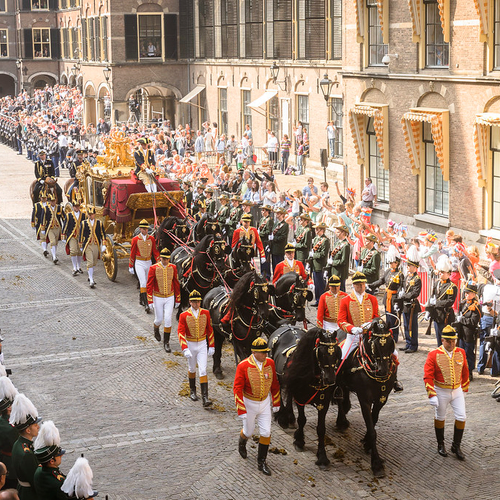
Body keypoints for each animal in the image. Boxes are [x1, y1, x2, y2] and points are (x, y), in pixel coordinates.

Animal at [270, 328, 344, 468]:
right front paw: (299, 441)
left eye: (337, 352)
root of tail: (285, 326)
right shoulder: (300, 398)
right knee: (280, 395)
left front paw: (322, 456)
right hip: (278, 378)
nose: (330, 379)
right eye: (321, 353)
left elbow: (321, 429)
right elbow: (302, 420)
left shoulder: (323, 403)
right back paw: (282, 418)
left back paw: (289, 416)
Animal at [336, 318, 398, 478]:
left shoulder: (382, 398)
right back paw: (341, 422)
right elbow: (371, 429)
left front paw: (367, 442)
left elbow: (373, 420)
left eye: (391, 343)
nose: (383, 370)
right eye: (374, 344)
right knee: (339, 398)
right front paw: (376, 464)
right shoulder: (364, 400)